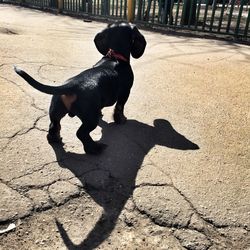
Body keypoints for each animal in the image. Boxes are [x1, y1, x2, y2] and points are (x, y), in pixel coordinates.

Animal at [14, 21, 146, 154]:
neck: (115, 56)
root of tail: (70, 86)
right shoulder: (125, 93)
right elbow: (119, 108)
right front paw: (121, 120)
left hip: (56, 111)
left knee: (54, 126)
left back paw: (55, 139)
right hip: (90, 119)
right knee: (81, 133)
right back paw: (95, 148)